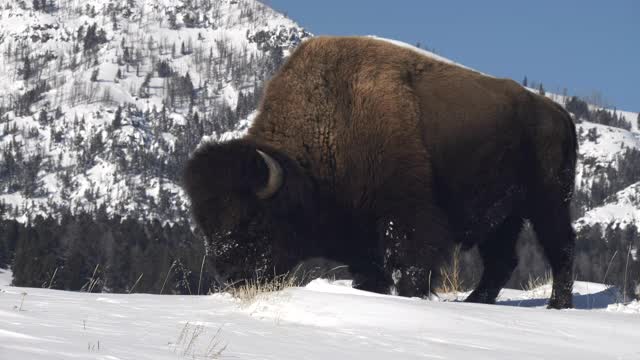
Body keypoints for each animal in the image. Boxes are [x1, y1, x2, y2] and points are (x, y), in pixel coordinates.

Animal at [182, 35, 576, 308]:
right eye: (204, 223)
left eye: (251, 218)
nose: (231, 276)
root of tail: (559, 114)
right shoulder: (363, 246)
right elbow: (371, 276)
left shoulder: (406, 222)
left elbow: (410, 270)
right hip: (505, 215)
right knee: (502, 260)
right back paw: (476, 302)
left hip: (548, 202)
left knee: (561, 247)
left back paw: (557, 306)